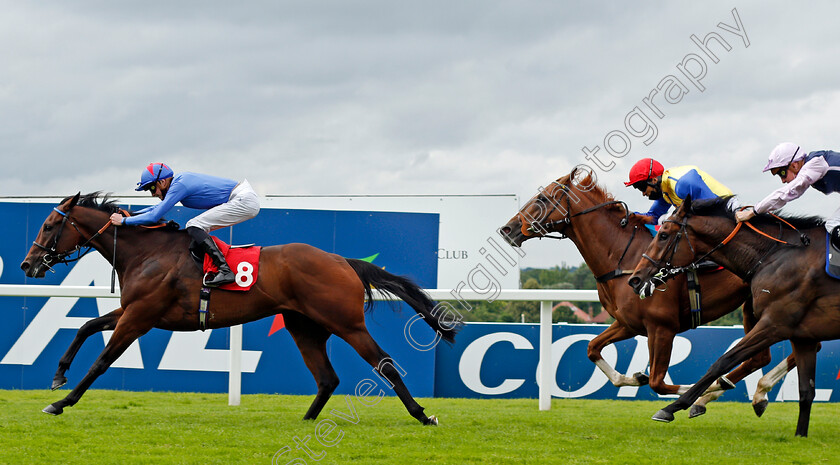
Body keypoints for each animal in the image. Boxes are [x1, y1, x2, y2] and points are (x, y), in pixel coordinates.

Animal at [19, 192, 452, 424]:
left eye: (47, 226)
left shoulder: (140, 317)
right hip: (303, 326)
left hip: (346, 323)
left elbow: (102, 361)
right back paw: (306, 421)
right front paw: (58, 375)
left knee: (384, 364)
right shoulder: (133, 310)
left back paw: (422, 414)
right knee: (327, 378)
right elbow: (86, 326)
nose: (27, 264)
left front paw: (60, 403)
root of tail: (340, 259)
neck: (147, 252)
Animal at [506, 169, 796, 416]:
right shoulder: (629, 323)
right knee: (765, 357)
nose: (507, 229)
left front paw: (701, 389)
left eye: (542, 198)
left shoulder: (662, 327)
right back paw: (743, 395)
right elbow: (592, 348)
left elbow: (658, 382)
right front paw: (634, 377)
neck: (624, 258)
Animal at [632, 196, 832, 436]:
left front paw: (674, 406)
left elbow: (722, 361)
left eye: (663, 235)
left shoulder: (775, 323)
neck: (777, 255)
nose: (635, 279)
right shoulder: (797, 333)